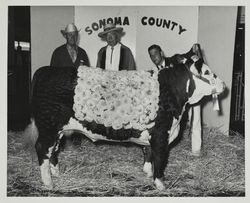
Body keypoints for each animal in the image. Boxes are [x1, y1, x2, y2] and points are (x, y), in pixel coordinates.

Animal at [24, 58, 225, 190]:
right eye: (207, 73)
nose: (223, 84)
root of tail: (45, 70)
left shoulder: (151, 134)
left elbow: (148, 154)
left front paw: (147, 173)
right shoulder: (161, 134)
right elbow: (160, 160)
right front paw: (160, 184)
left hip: (56, 129)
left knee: (53, 150)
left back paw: (55, 172)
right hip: (49, 126)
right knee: (42, 148)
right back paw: (48, 182)